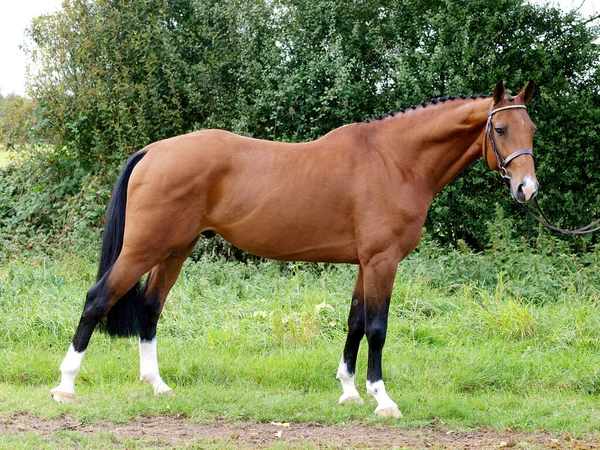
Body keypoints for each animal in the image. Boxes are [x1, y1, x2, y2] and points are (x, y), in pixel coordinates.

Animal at [51, 80, 540, 418]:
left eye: (531, 129)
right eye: (499, 128)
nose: (527, 189)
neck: (394, 159)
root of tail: (153, 151)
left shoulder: (365, 263)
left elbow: (354, 323)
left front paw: (348, 391)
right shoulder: (382, 261)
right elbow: (377, 328)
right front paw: (382, 399)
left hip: (174, 250)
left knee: (150, 308)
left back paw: (157, 385)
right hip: (143, 248)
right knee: (97, 299)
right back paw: (66, 386)